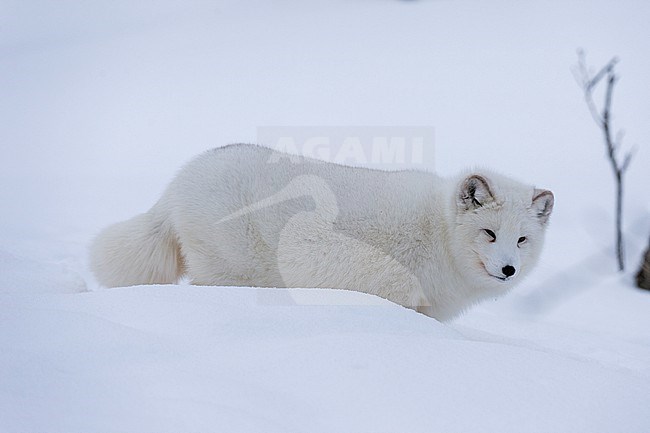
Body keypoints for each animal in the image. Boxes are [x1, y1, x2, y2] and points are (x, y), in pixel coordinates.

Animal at [91, 143, 552, 318]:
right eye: (489, 233)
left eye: (521, 240)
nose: (509, 269)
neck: (438, 232)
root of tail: (177, 183)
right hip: (233, 271)